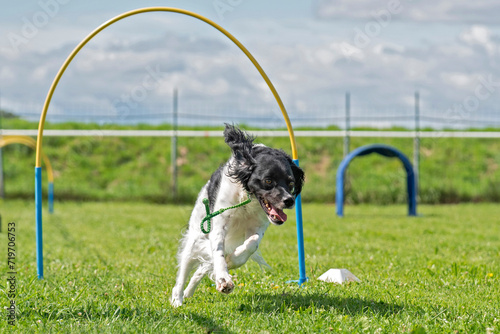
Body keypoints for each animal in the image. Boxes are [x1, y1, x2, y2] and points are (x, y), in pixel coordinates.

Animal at [172, 124, 304, 306]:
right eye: (268, 181)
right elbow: (218, 251)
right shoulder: (218, 224)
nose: (289, 200)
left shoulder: (257, 227)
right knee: (184, 271)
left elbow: (251, 244)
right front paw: (223, 278)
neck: (248, 200)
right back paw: (177, 300)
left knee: (200, 270)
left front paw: (232, 260)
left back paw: (188, 292)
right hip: (195, 237)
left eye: (291, 182)